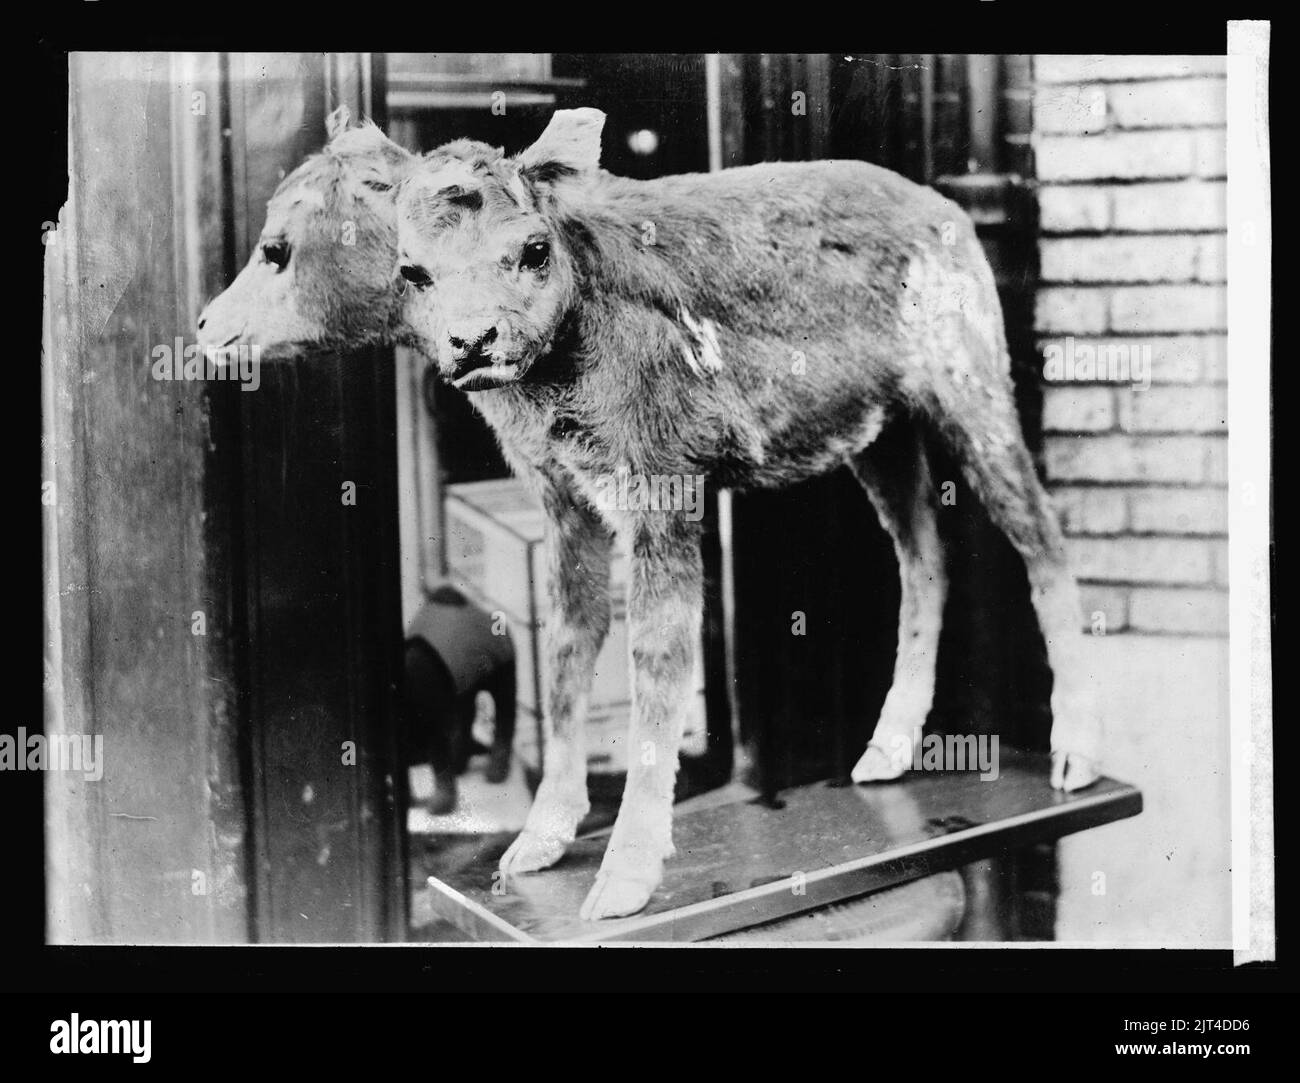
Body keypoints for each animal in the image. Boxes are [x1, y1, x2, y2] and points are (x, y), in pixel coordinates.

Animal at [197, 107, 1102, 920]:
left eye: (531, 249)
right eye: (412, 270)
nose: (474, 340)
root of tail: (951, 213)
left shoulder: (665, 487)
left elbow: (659, 667)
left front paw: (622, 883)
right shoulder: (565, 500)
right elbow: (568, 653)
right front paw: (537, 843)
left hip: (971, 388)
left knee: (1043, 539)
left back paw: (1074, 757)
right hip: (881, 433)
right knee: (924, 552)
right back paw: (884, 751)